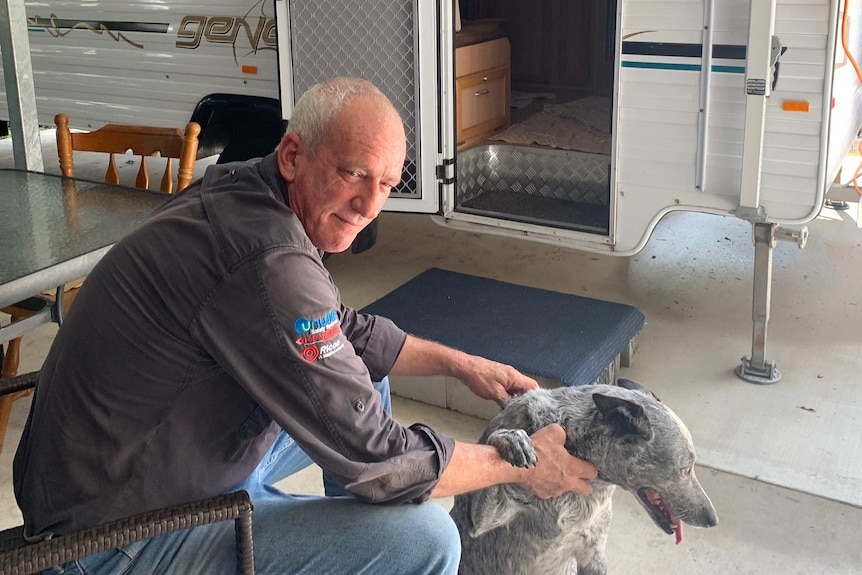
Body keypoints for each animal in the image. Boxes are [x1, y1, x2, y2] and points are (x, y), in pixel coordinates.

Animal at [452, 380, 724, 572]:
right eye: (686, 469)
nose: (713, 520)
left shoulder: (592, 553)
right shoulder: (481, 521)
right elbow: (496, 449)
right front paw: (511, 438)